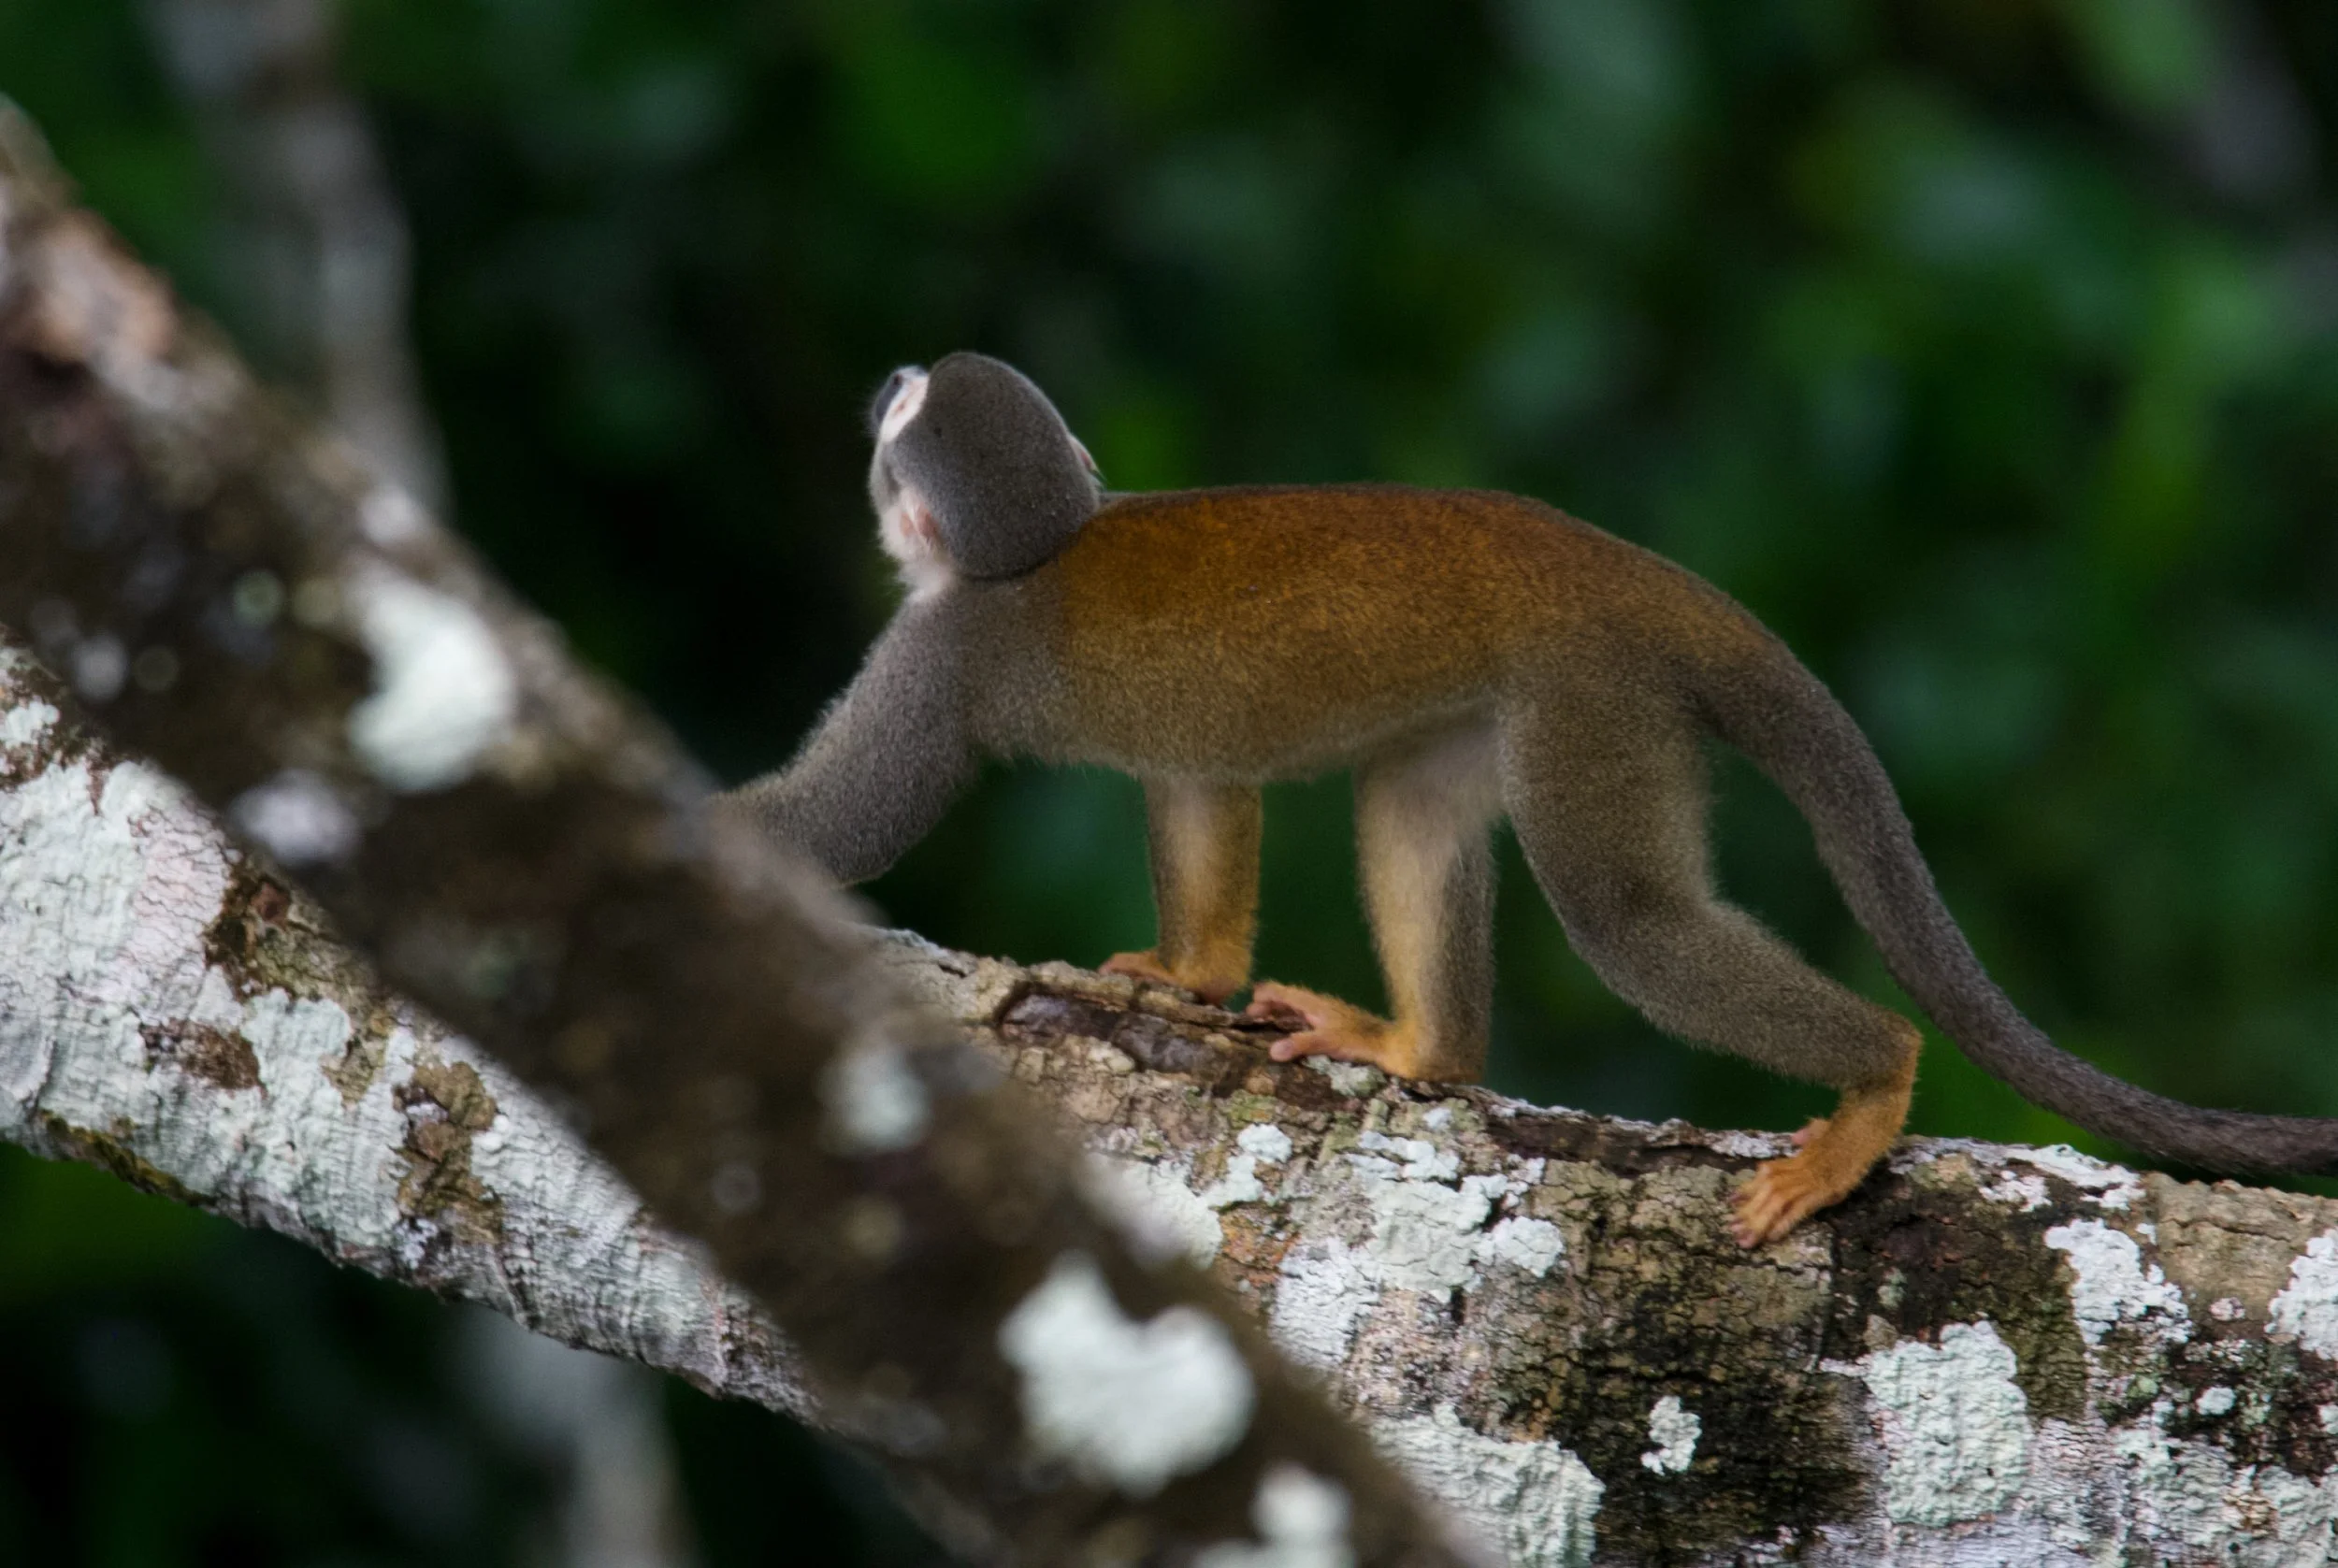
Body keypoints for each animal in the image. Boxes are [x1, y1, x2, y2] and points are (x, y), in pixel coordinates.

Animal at [726, 350, 2338, 1246]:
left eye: (899, 420)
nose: (885, 381)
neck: (1038, 552)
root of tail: (1632, 573)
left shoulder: (942, 653)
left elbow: (844, 823)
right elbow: (1204, 787)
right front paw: (1193, 971)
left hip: (1593, 698)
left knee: (1630, 920)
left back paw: (1874, 1083)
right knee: (1414, 799)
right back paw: (1428, 1050)